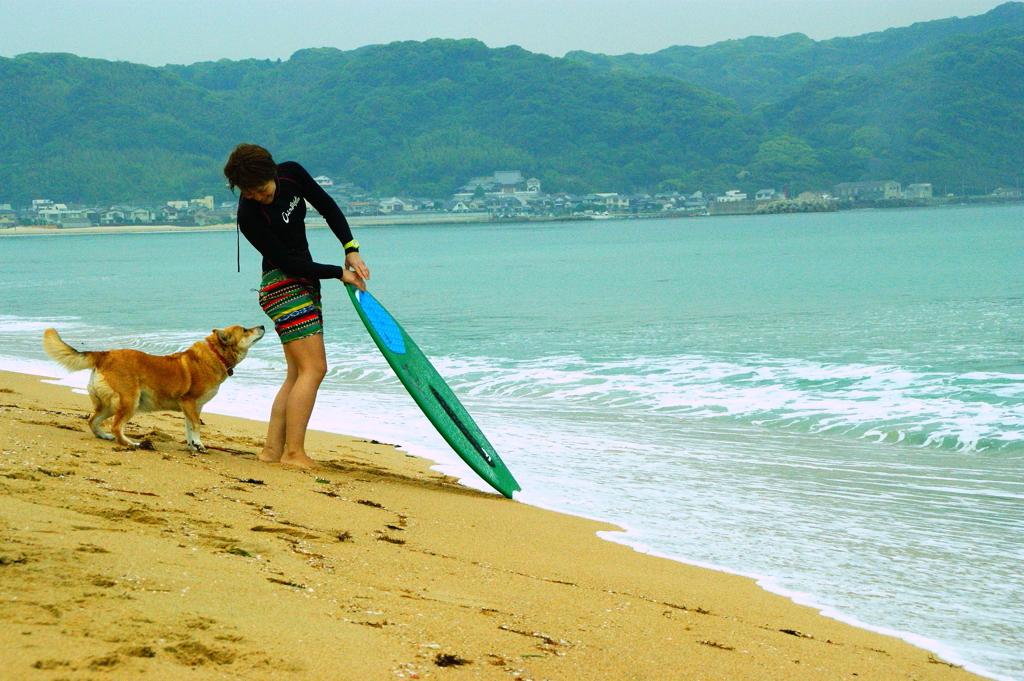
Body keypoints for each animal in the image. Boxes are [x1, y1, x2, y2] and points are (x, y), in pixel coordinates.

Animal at [41, 325, 266, 450]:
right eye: (245, 330)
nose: (263, 325)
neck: (216, 354)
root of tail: (105, 354)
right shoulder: (190, 403)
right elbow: (196, 426)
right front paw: (199, 444)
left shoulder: (191, 408)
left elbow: (188, 428)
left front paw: (193, 446)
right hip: (130, 402)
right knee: (116, 426)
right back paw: (131, 444)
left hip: (110, 405)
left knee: (92, 421)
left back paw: (105, 436)